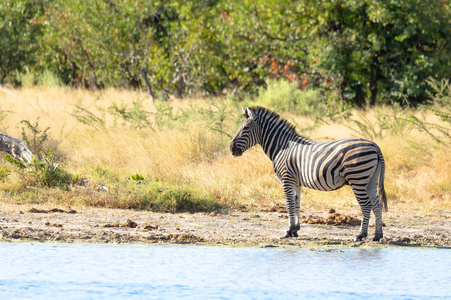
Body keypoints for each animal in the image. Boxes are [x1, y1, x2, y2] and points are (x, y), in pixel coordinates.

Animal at [230, 106, 388, 241]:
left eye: (245, 128)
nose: (231, 148)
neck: (282, 147)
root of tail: (374, 145)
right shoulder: (296, 182)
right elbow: (296, 204)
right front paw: (295, 230)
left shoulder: (287, 179)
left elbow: (289, 204)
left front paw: (288, 231)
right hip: (370, 181)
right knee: (377, 204)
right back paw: (377, 235)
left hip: (357, 178)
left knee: (366, 205)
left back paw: (360, 235)